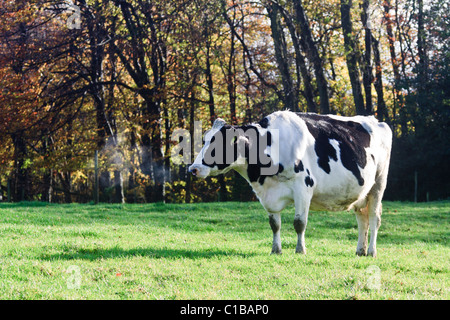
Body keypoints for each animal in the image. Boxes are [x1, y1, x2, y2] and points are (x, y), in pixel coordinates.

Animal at [188, 111, 392, 256]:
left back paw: (372, 251)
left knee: (374, 218)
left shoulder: (303, 187)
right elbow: (274, 224)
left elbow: (299, 223)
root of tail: (375, 120)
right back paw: (360, 250)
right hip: (361, 192)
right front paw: (275, 250)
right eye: (205, 140)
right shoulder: (269, 194)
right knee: (362, 219)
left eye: (219, 143)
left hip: (378, 185)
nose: (193, 169)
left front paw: (300, 250)